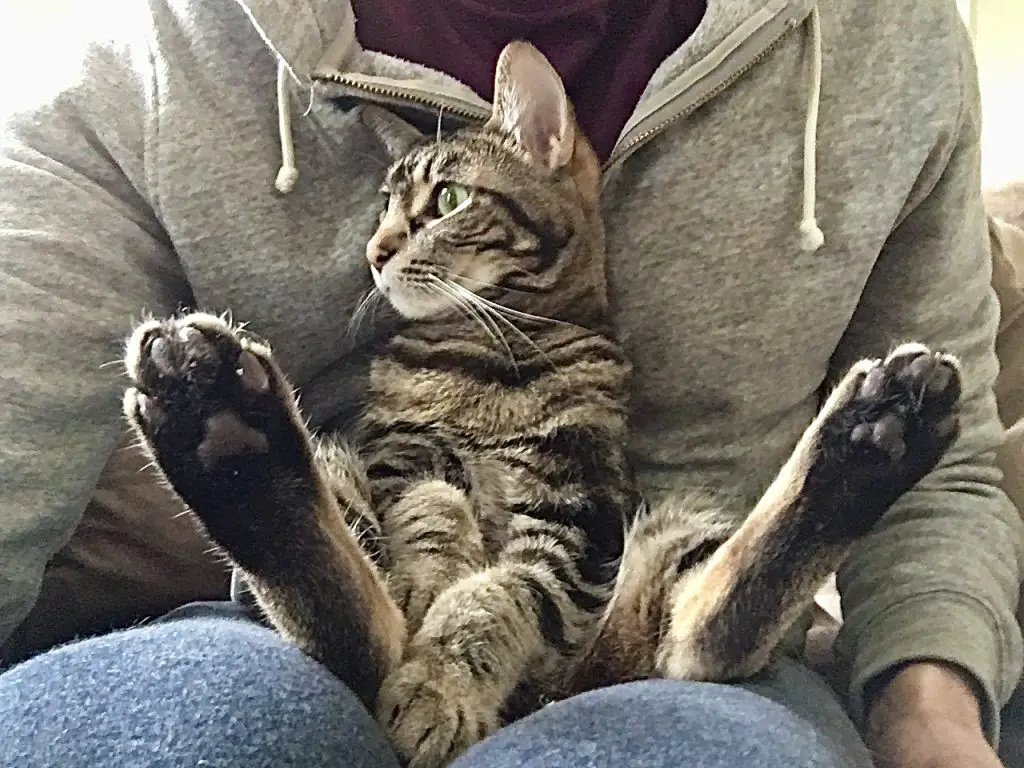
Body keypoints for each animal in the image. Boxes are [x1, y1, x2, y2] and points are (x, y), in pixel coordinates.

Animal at [123, 43, 962, 768]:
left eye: (448, 200)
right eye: (385, 207)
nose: (375, 252)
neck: (490, 347)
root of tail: (552, 691)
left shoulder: (577, 512)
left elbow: (498, 596)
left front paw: (440, 680)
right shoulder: (399, 453)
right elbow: (431, 512)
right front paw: (431, 577)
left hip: (670, 550)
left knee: (704, 634)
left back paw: (871, 441)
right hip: (336, 474)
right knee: (354, 632)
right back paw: (224, 429)